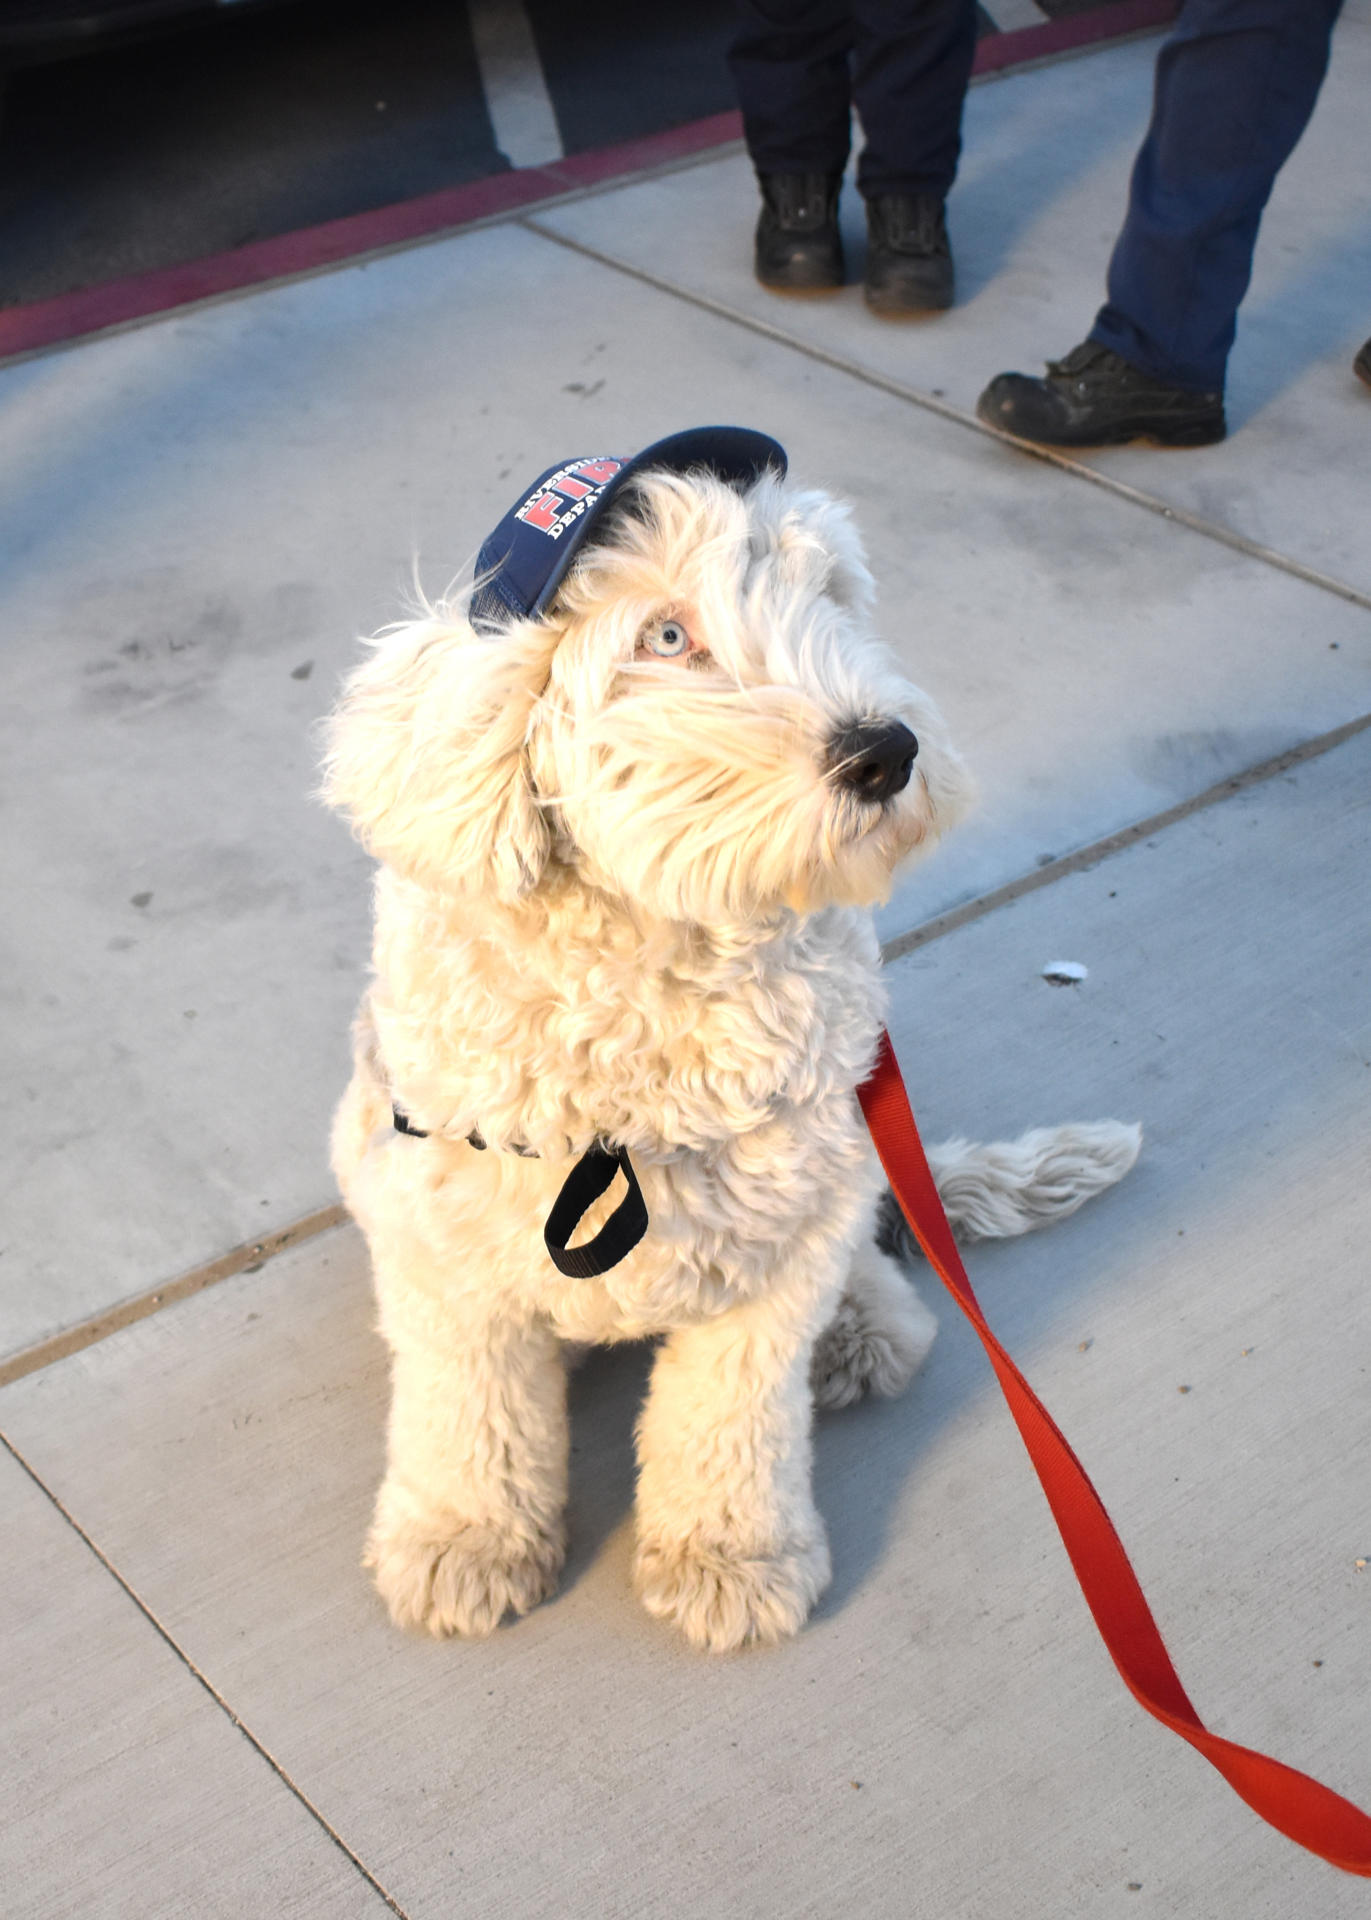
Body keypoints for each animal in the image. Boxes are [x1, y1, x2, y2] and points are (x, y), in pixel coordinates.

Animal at [320, 432, 1129, 1651]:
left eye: (826, 594)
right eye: (666, 637)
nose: (887, 751)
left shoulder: (779, 1250)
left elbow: (729, 1420)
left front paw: (730, 1558)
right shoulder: (444, 1239)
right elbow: (471, 1410)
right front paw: (464, 1540)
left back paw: (861, 1331)